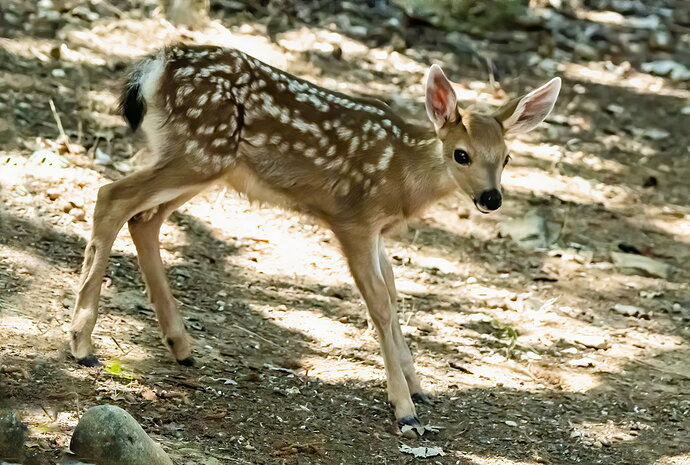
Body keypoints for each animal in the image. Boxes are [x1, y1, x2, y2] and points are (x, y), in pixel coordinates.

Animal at [69, 43, 560, 435]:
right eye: (462, 154)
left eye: (506, 158)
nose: (491, 198)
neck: (401, 175)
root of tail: (159, 64)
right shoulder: (353, 219)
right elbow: (379, 306)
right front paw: (405, 410)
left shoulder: (379, 233)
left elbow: (394, 296)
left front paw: (419, 389)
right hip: (201, 150)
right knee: (111, 197)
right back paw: (82, 345)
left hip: (204, 163)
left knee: (144, 219)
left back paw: (182, 347)